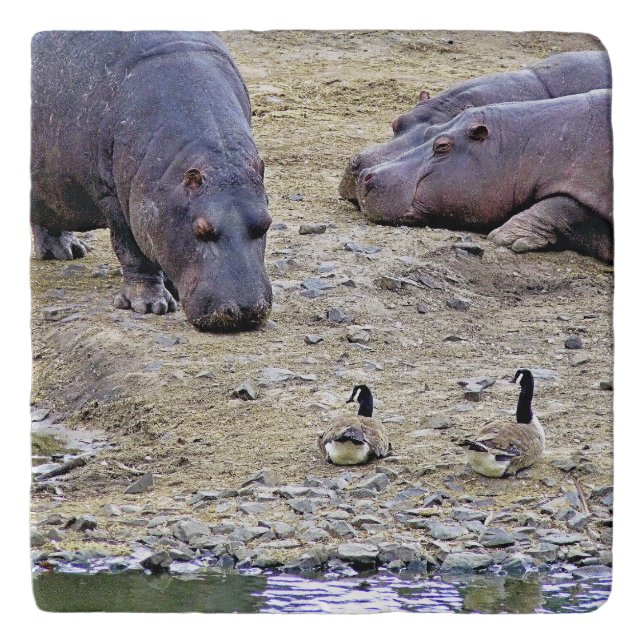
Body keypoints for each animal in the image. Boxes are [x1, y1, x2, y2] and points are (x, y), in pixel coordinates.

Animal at [31, 32, 272, 331]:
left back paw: (67, 251)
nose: (245, 310)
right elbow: (132, 250)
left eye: (266, 223)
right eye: (201, 228)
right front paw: (151, 306)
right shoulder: (114, 199)